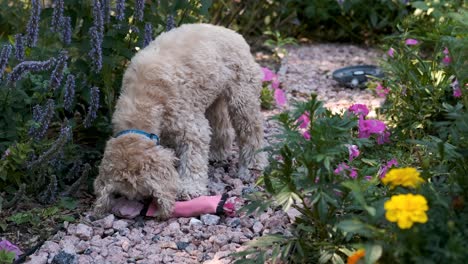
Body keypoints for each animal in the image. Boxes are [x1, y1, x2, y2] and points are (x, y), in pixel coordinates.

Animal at [93, 23, 266, 219]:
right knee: (222, 126)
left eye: (143, 193)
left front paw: (189, 188)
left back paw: (253, 164)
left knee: (251, 130)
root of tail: (231, 32)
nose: (130, 210)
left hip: (242, 97)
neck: (143, 101)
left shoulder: (191, 128)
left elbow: (192, 160)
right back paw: (218, 153)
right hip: (213, 99)